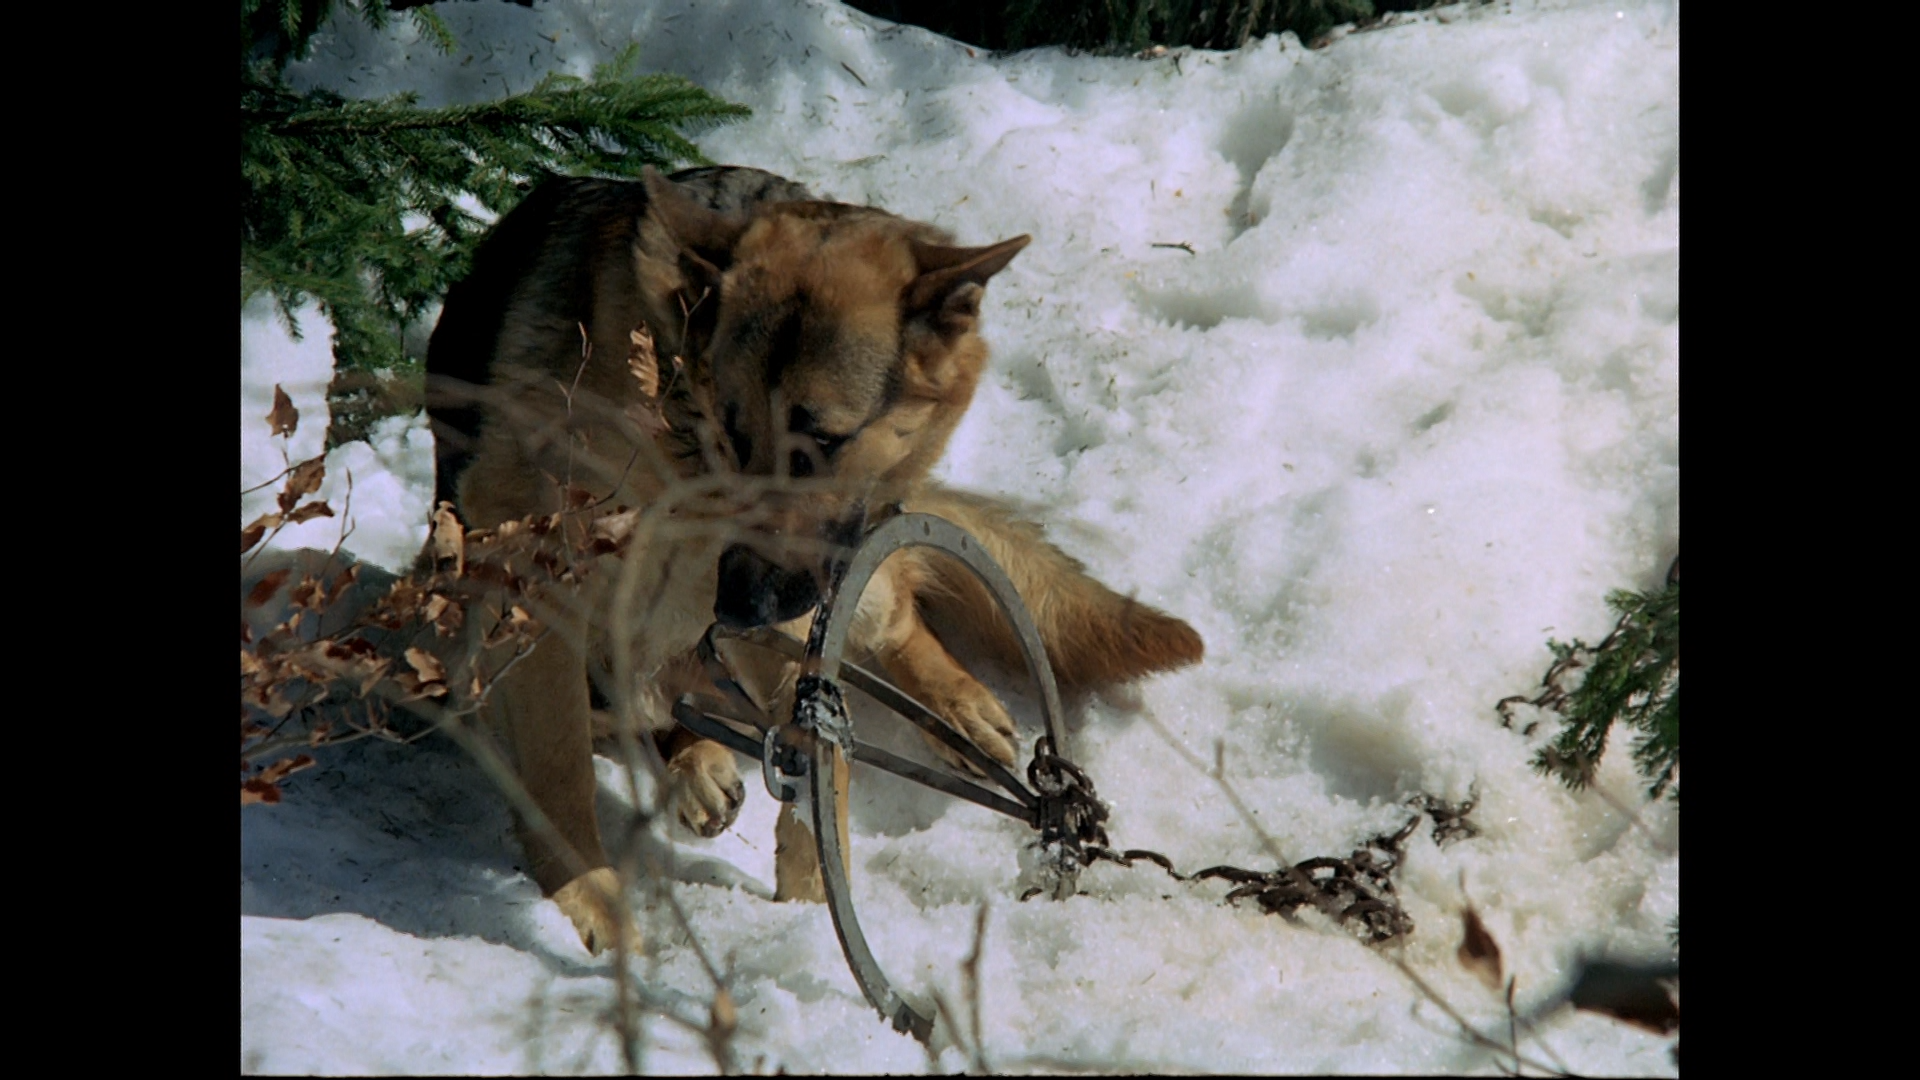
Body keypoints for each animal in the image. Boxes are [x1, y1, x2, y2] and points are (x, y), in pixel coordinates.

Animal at [424, 165, 1203, 954]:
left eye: (820, 442)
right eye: (735, 431)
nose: (736, 605)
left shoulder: (800, 609)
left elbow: (822, 770)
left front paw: (807, 908)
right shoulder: (541, 590)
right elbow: (559, 773)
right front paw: (591, 901)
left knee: (892, 622)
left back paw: (953, 709)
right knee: (643, 709)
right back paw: (695, 762)